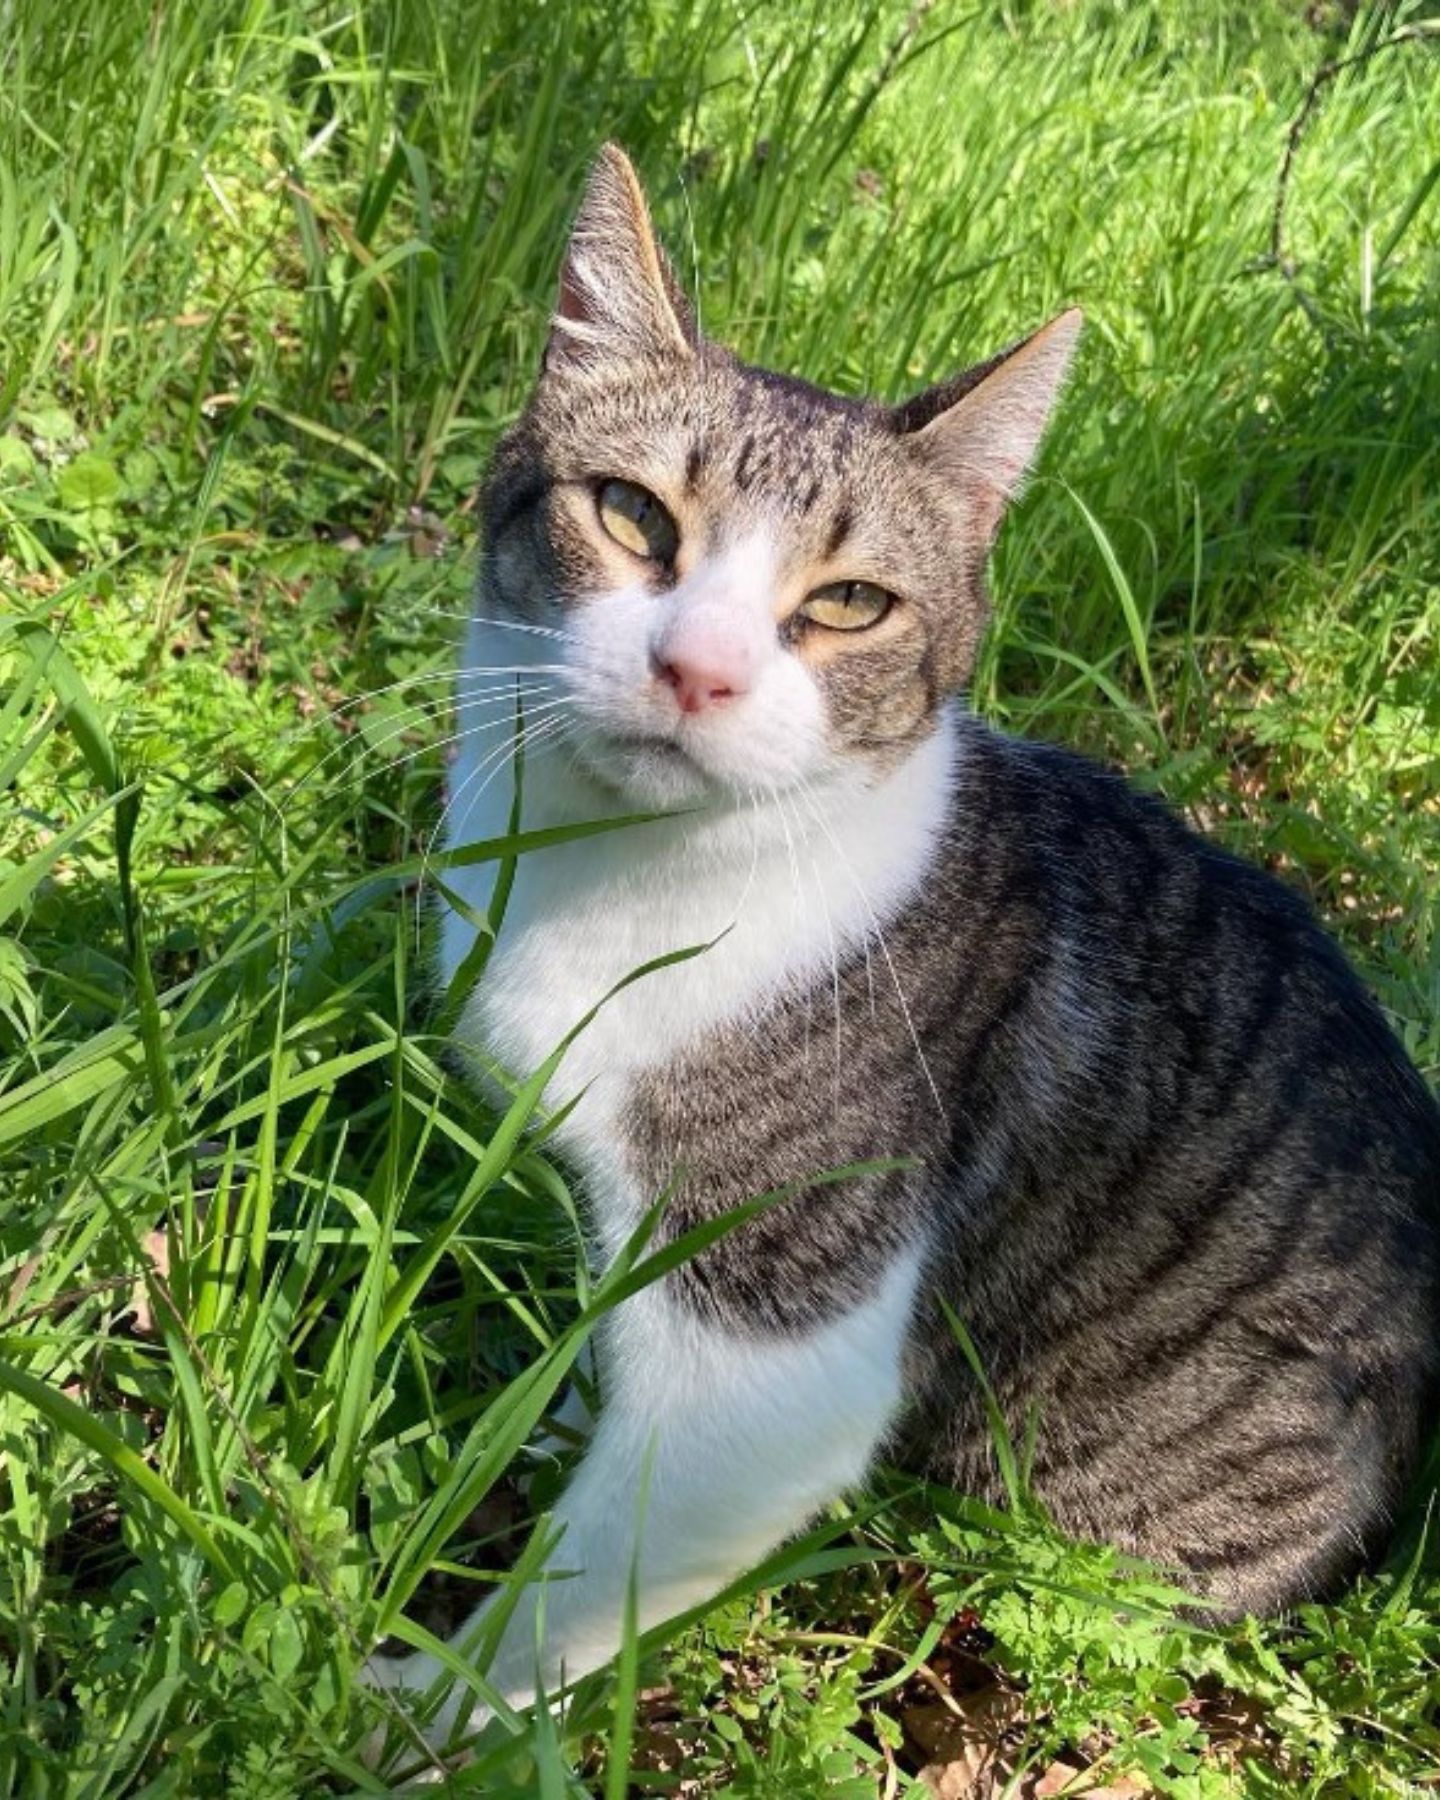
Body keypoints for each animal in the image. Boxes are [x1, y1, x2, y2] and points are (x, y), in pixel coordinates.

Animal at [363, 147, 1440, 1749]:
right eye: (630, 515)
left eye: (850, 603)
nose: (698, 668)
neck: (626, 876)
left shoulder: (776, 1332)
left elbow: (586, 1579)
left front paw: (412, 1715)